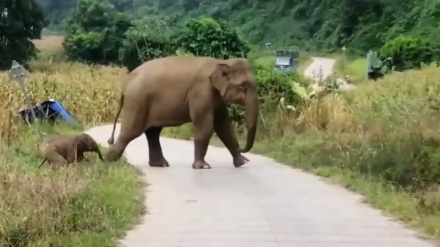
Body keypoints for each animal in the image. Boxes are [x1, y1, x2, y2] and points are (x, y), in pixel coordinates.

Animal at [105, 55, 258, 169]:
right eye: (243, 86)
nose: (241, 149)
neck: (221, 62)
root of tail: (126, 83)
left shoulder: (217, 98)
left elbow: (224, 126)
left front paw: (243, 162)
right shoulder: (200, 92)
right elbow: (206, 125)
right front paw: (203, 167)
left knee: (153, 133)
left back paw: (160, 164)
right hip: (137, 103)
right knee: (130, 133)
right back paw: (110, 162)